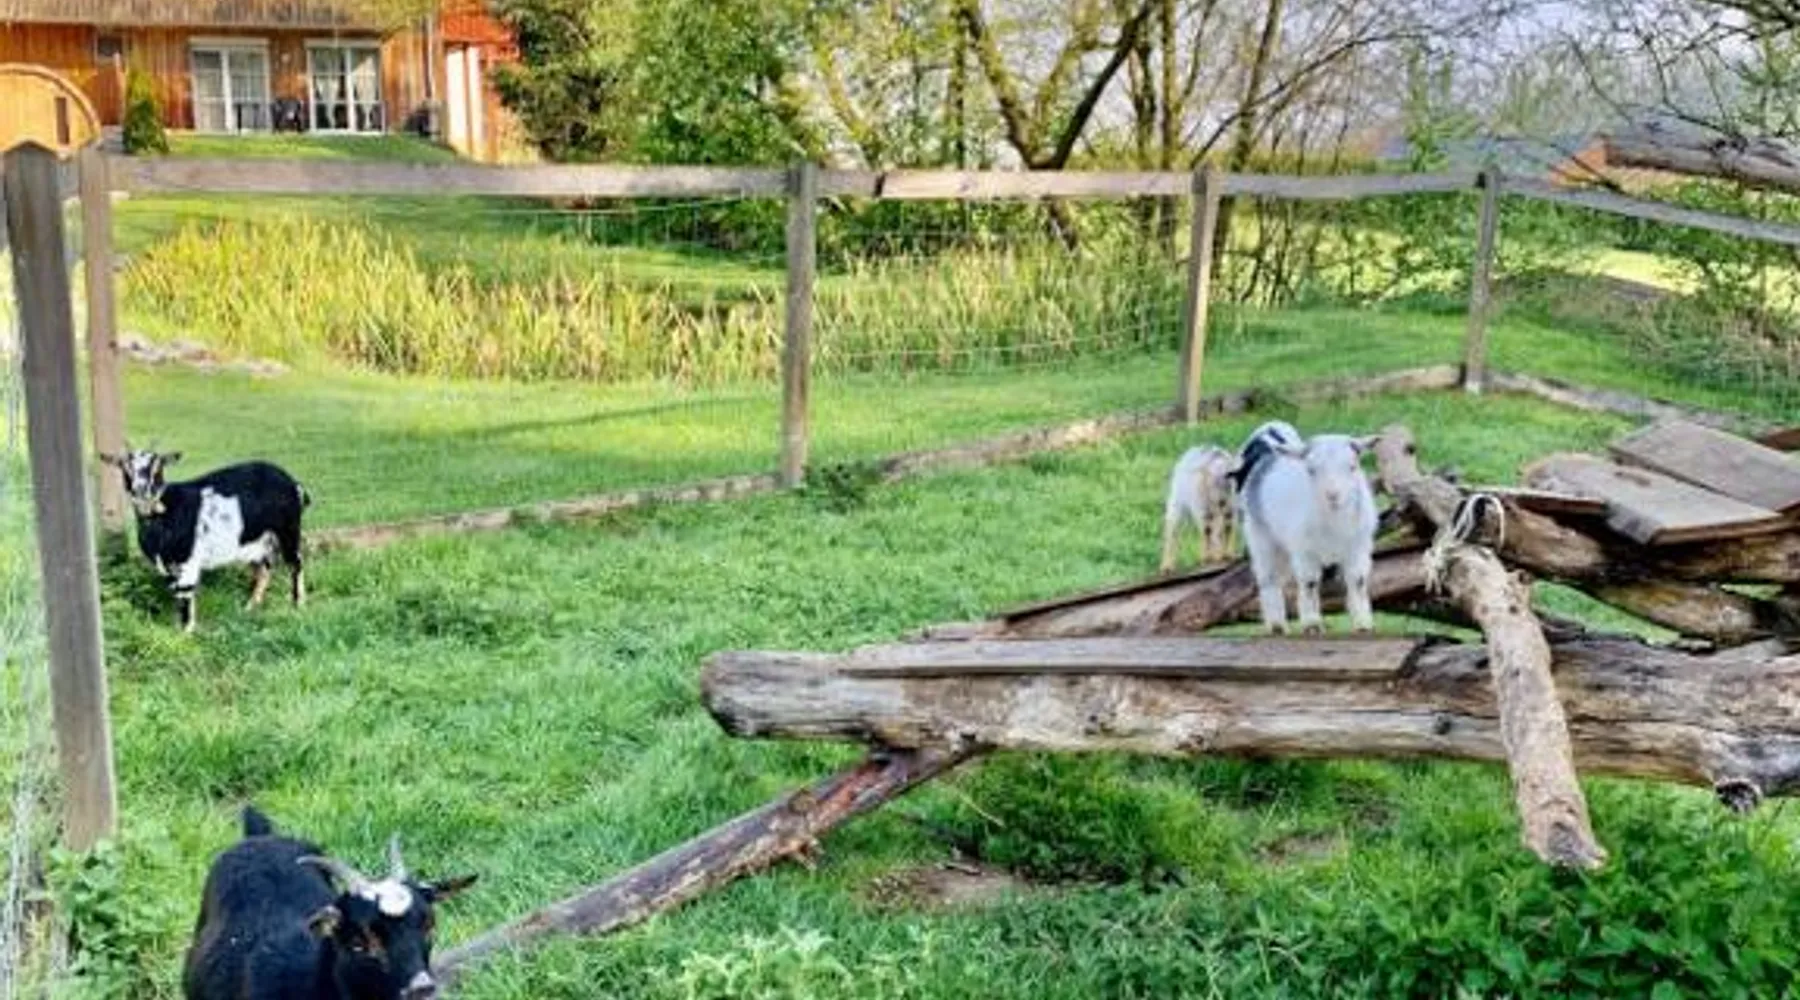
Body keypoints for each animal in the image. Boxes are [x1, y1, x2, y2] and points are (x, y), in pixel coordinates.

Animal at [102, 447, 310, 632]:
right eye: (124, 467)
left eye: (158, 466)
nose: (141, 489)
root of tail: (293, 483)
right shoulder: (169, 567)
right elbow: (177, 595)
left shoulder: (187, 562)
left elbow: (185, 594)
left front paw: (185, 634)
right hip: (258, 539)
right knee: (265, 568)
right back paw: (250, 606)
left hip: (288, 529)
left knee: (295, 563)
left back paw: (297, 604)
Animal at [1233, 421, 1379, 635]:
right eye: (1311, 470)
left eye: (1352, 467)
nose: (1332, 495)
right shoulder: (1304, 551)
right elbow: (1309, 583)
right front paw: (1312, 624)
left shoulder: (1358, 547)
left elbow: (1357, 581)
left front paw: (1363, 623)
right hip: (1261, 538)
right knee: (1269, 579)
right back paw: (1276, 625)